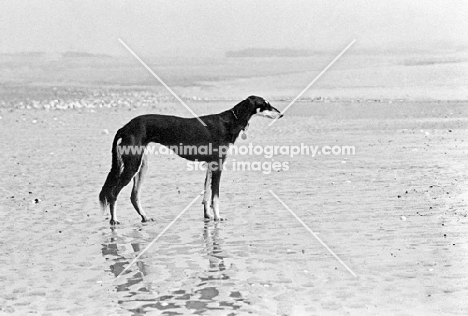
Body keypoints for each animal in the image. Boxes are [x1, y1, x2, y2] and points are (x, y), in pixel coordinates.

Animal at [98, 95, 282, 225]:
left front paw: (208, 215)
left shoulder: (210, 164)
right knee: (113, 193)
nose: (281, 114)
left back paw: (144, 216)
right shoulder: (218, 164)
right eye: (265, 104)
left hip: (141, 165)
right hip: (132, 165)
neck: (229, 122)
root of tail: (125, 127)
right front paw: (218, 217)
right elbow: (215, 196)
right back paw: (114, 220)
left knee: (134, 195)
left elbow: (206, 194)